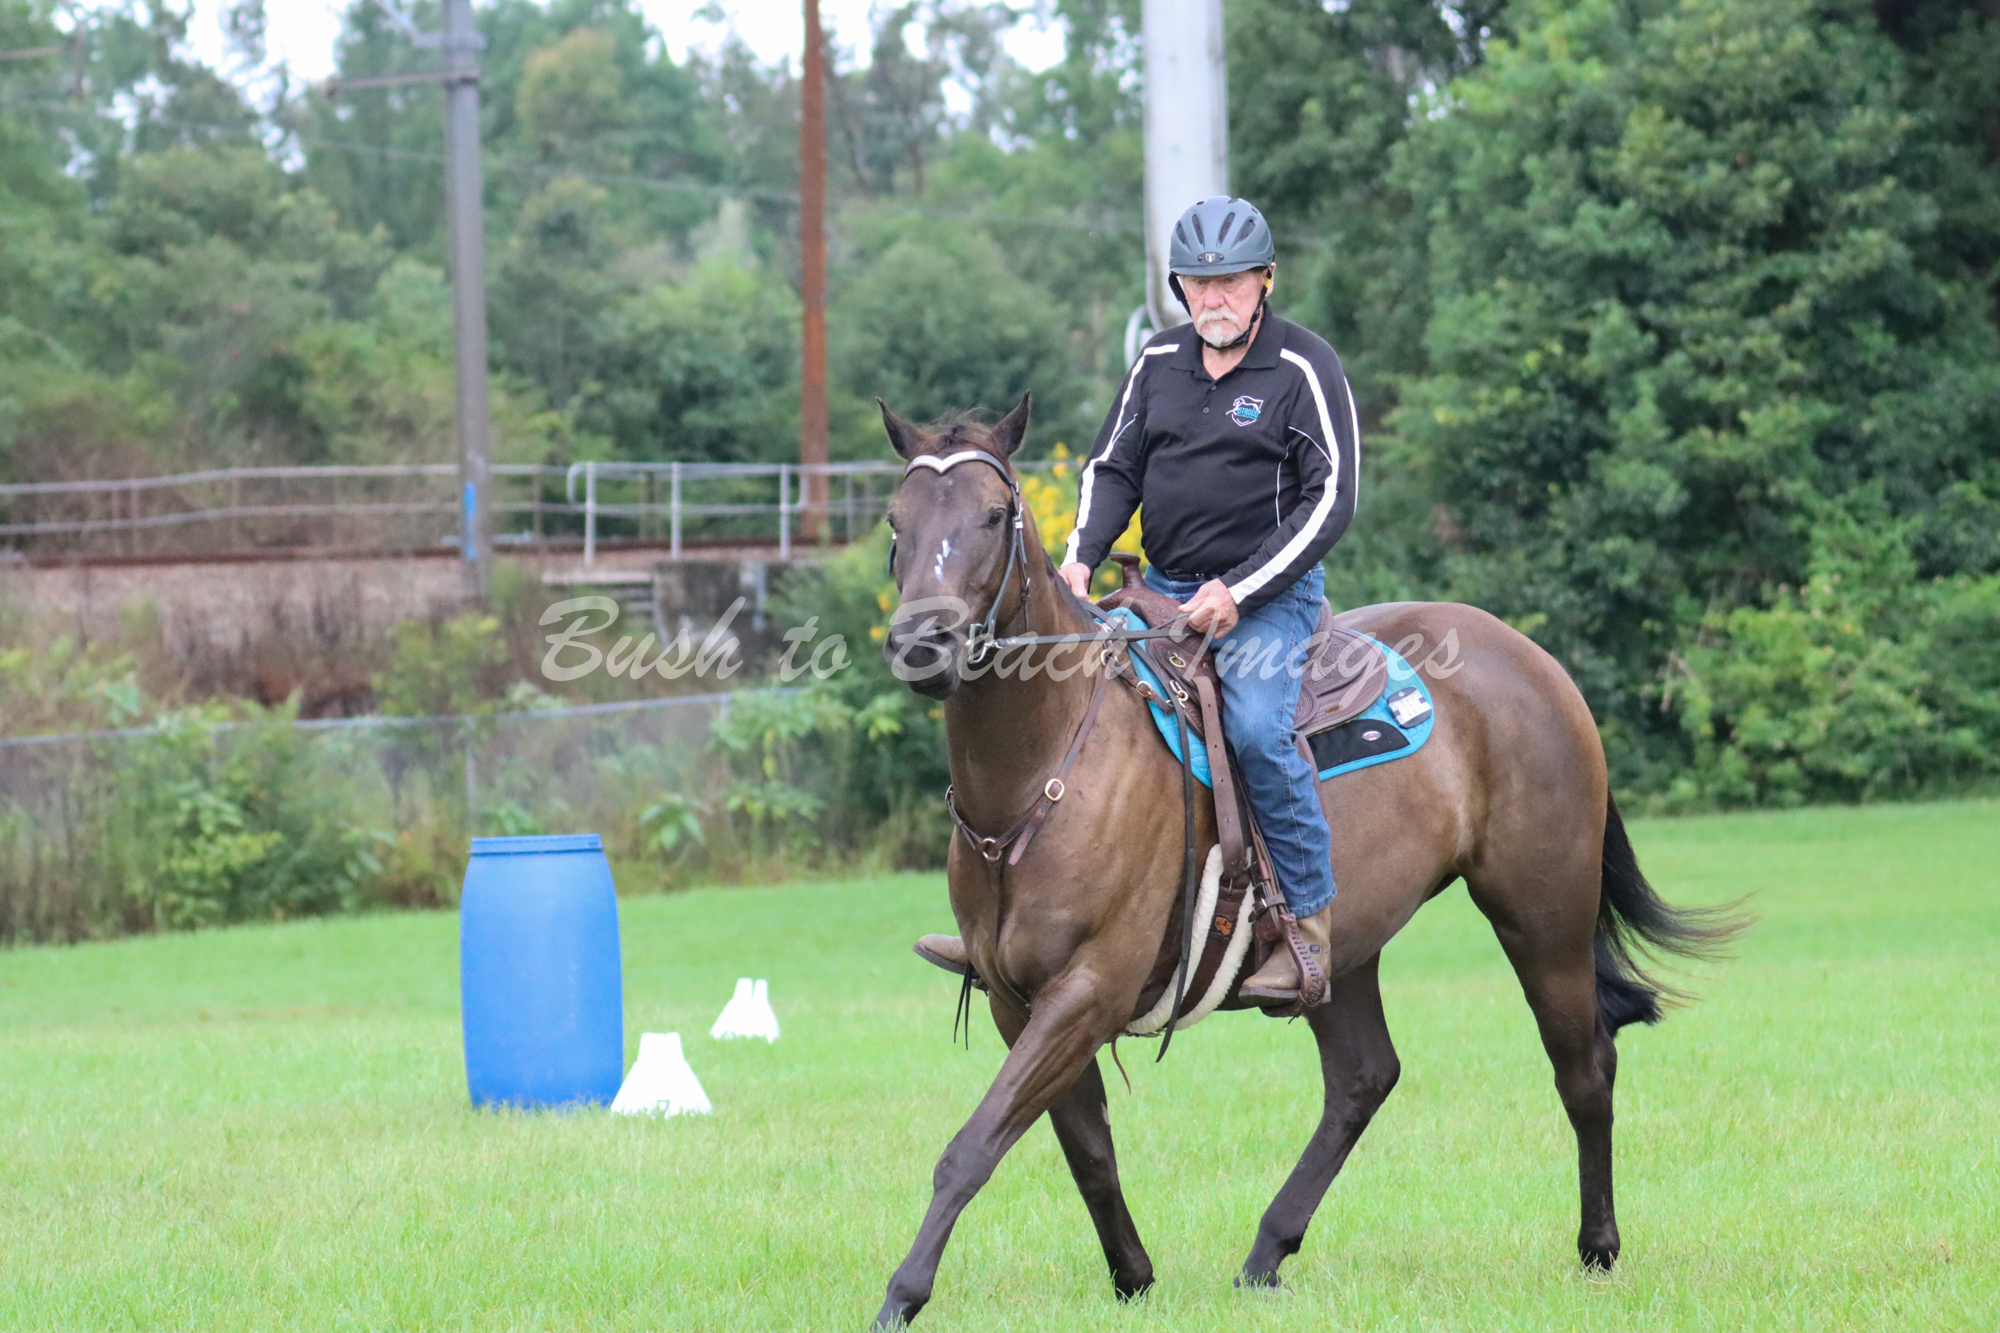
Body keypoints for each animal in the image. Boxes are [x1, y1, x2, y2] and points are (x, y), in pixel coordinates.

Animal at [872, 395, 1741, 1330]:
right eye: (897, 520)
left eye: (994, 516)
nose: (922, 641)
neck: (1044, 769)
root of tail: (1535, 662)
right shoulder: (1017, 999)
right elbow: (1084, 1147)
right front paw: (1134, 1275)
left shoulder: (1088, 990)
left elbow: (973, 1145)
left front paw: (902, 1293)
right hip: (1344, 948)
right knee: (1364, 1077)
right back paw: (1267, 1251)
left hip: (1543, 916)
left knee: (1584, 1066)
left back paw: (1598, 1247)